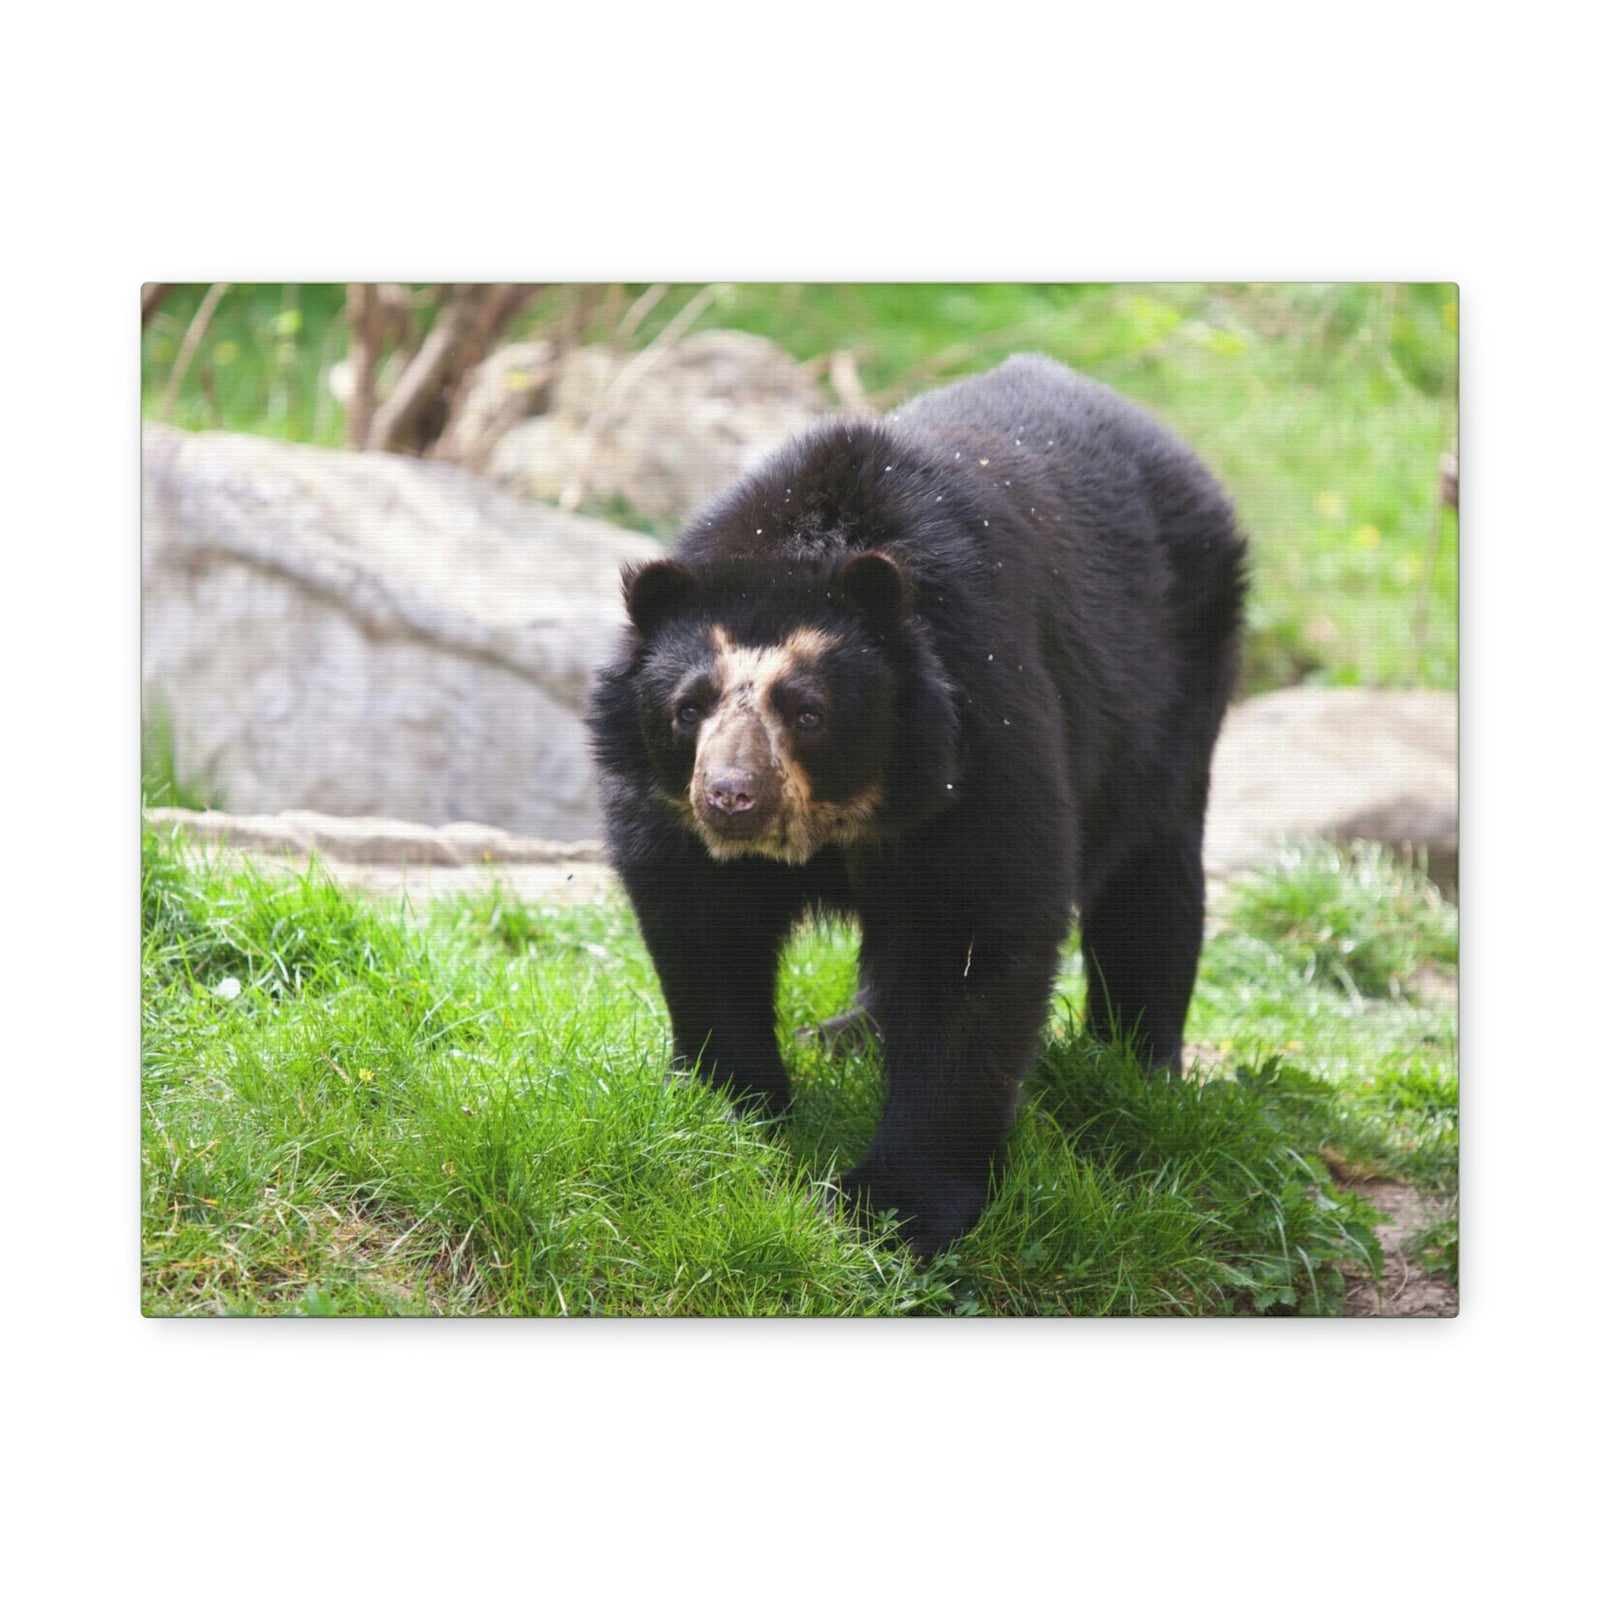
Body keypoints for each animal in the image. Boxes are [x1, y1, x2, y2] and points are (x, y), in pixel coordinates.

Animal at [587, 353, 1247, 1259]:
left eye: (808, 712)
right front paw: (729, 1109)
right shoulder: (669, 813)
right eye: (689, 708)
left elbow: (974, 937)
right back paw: (845, 1034)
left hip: (1176, 689)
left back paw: (1136, 1067)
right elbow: (703, 925)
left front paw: (894, 1208)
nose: (731, 798)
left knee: (1152, 881)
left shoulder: (982, 735)